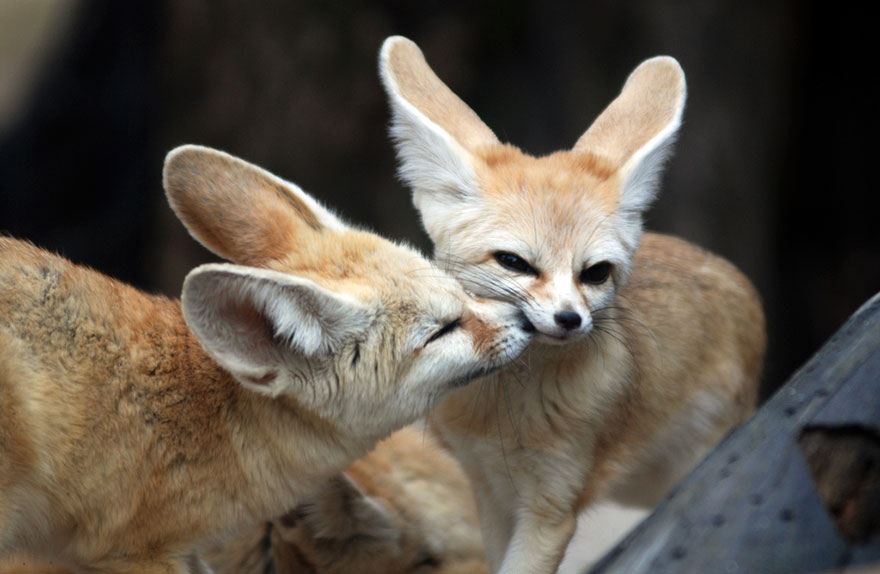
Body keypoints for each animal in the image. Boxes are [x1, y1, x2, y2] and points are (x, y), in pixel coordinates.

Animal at [380, 36, 767, 574]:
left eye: (595, 273)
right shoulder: (490, 491)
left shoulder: (551, 508)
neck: (504, 411)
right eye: (514, 262)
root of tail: (732, 275)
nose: (569, 319)